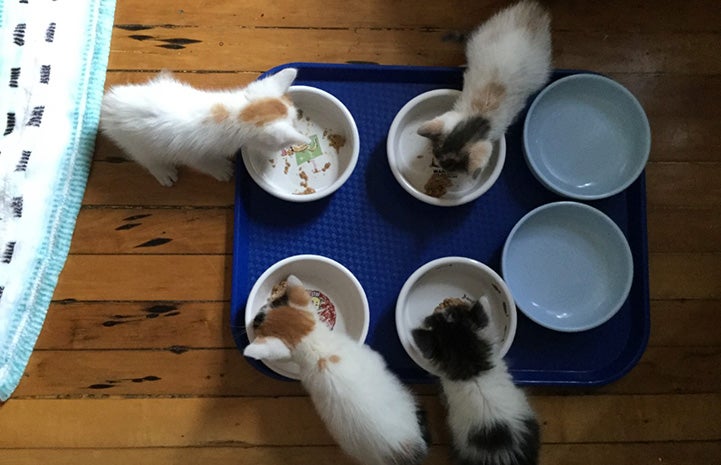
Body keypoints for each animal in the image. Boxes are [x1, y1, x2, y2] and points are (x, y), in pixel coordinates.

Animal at [98, 67, 306, 187]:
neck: (236, 113)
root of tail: (107, 104)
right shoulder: (192, 153)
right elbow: (204, 163)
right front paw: (222, 170)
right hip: (136, 143)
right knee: (145, 158)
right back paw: (164, 173)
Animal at [416, 0, 552, 176]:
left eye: (451, 165)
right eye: (436, 152)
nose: (440, 166)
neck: (481, 115)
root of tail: (534, 8)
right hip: (485, 34)